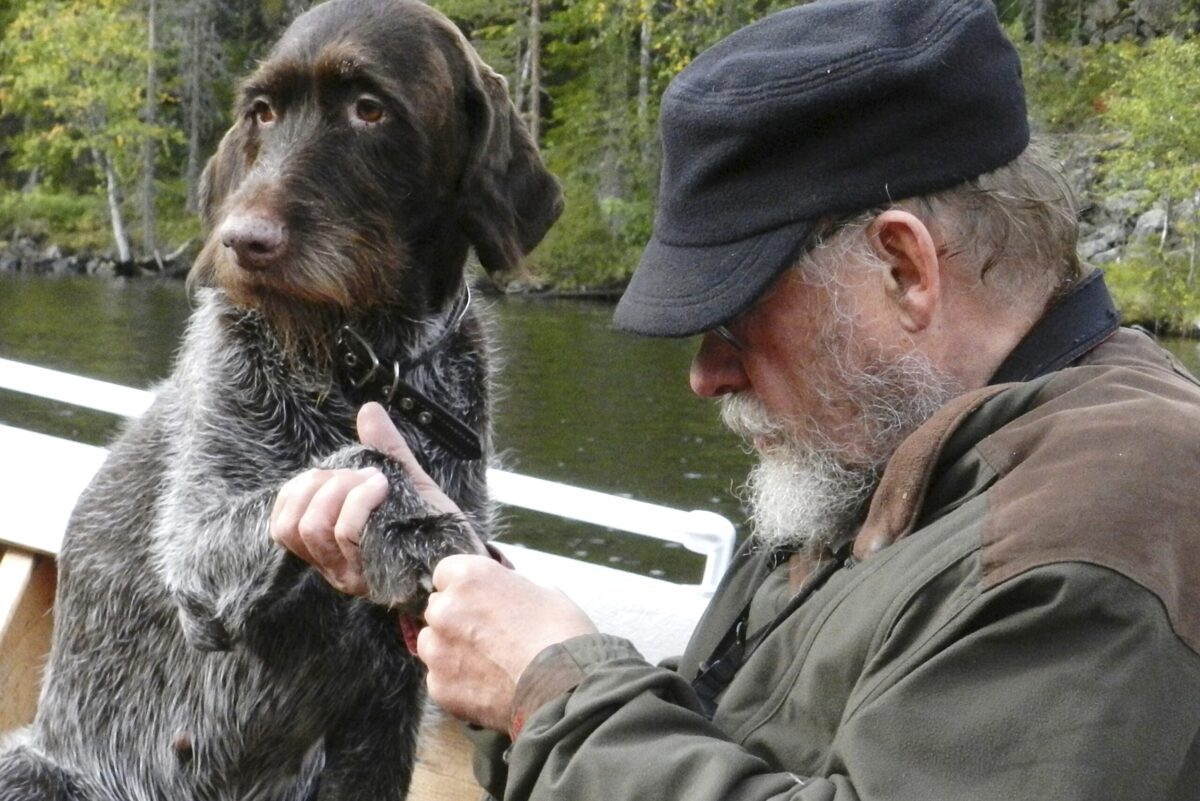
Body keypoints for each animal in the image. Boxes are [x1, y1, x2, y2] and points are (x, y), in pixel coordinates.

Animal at [0, 0, 561, 796]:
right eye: (263, 112)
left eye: (369, 108)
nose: (242, 239)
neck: (367, 362)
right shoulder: (196, 552)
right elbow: (360, 458)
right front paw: (413, 522)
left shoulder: (390, 703)